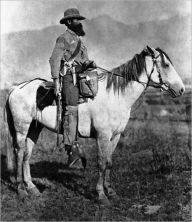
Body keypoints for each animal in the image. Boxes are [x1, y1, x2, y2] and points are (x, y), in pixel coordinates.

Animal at [4, 46, 184, 206]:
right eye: (166, 65)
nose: (181, 89)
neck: (115, 96)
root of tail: (15, 88)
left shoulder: (115, 136)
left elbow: (109, 162)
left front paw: (111, 191)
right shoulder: (102, 135)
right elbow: (101, 163)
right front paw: (101, 195)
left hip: (34, 129)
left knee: (27, 155)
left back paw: (32, 188)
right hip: (21, 128)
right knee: (19, 153)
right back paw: (21, 191)